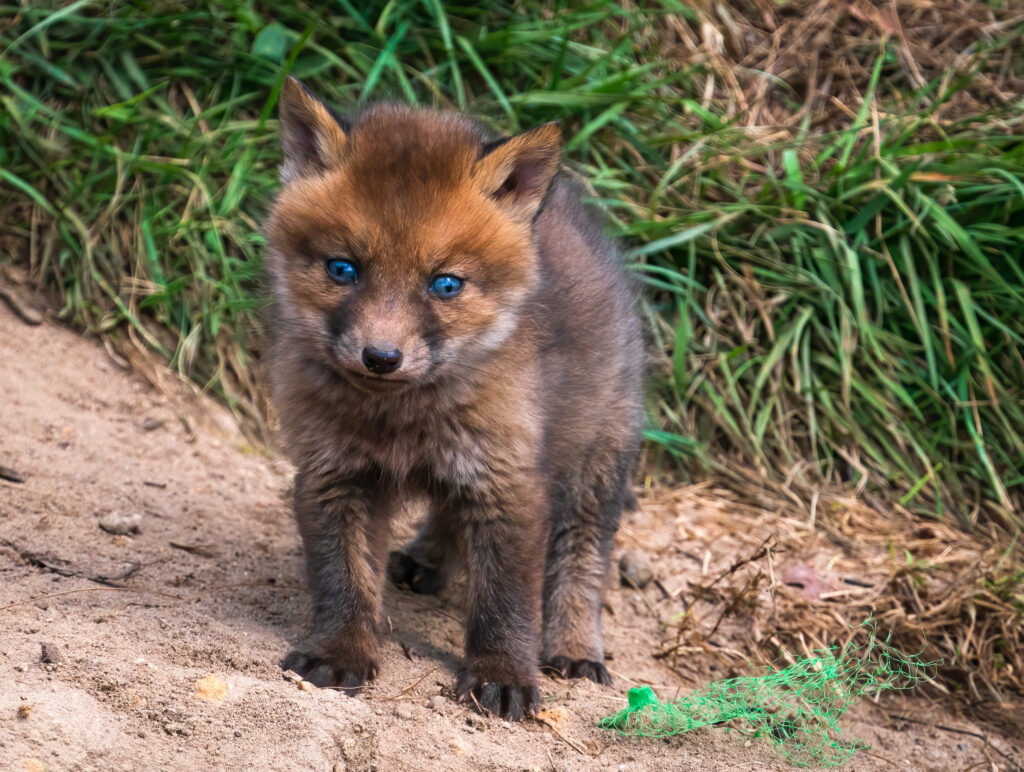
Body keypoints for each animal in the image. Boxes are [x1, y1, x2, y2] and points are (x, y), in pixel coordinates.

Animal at [268, 76, 643, 716]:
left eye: (444, 284)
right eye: (343, 269)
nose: (381, 357)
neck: (402, 419)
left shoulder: (509, 480)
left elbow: (505, 601)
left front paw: (502, 675)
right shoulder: (333, 472)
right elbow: (344, 579)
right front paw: (341, 652)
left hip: (595, 462)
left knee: (582, 555)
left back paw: (573, 648)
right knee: (447, 511)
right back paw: (427, 562)